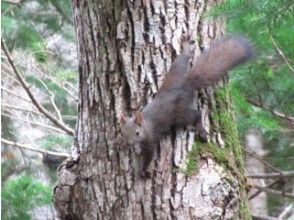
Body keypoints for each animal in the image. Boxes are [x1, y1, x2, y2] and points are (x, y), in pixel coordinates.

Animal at [120, 34, 254, 179]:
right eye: (123, 132)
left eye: (137, 133)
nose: (128, 144)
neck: (145, 124)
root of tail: (186, 86)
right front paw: (132, 148)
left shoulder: (151, 140)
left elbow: (149, 156)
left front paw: (144, 170)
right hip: (176, 71)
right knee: (183, 58)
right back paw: (185, 47)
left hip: (179, 116)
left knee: (196, 114)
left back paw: (201, 130)